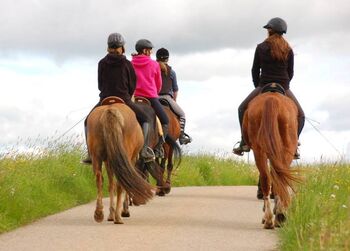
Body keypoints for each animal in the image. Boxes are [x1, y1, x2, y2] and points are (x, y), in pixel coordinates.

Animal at [243, 90, 300, 229]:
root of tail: (272, 99)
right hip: (285, 148)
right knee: (277, 178)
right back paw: (277, 216)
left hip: (260, 150)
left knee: (267, 178)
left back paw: (272, 217)